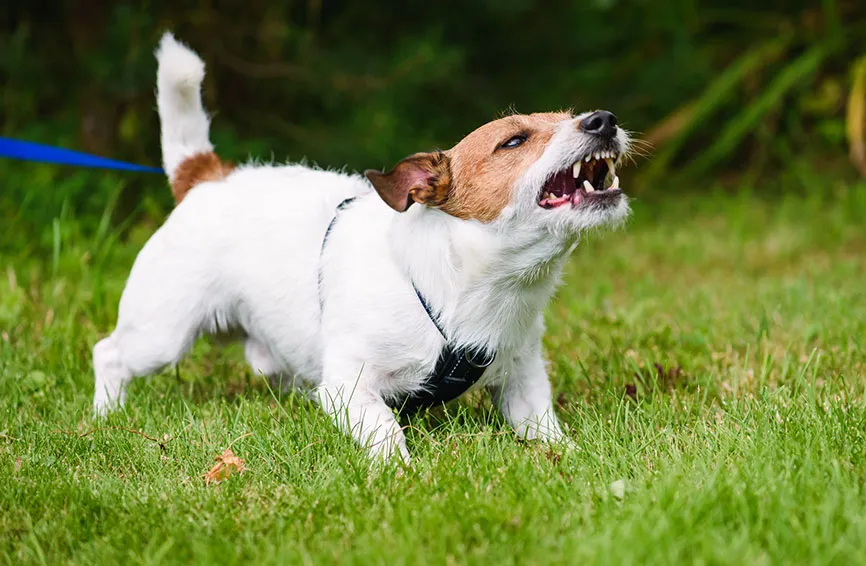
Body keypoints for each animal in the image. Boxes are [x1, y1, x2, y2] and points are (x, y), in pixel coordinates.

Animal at [93, 33, 628, 462]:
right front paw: (402, 473)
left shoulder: (522, 376)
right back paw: (105, 416)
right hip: (161, 333)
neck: (467, 285)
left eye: (571, 116)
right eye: (513, 141)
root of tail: (206, 176)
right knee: (109, 353)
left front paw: (569, 457)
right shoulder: (349, 385)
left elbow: (542, 424)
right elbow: (385, 429)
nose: (604, 119)